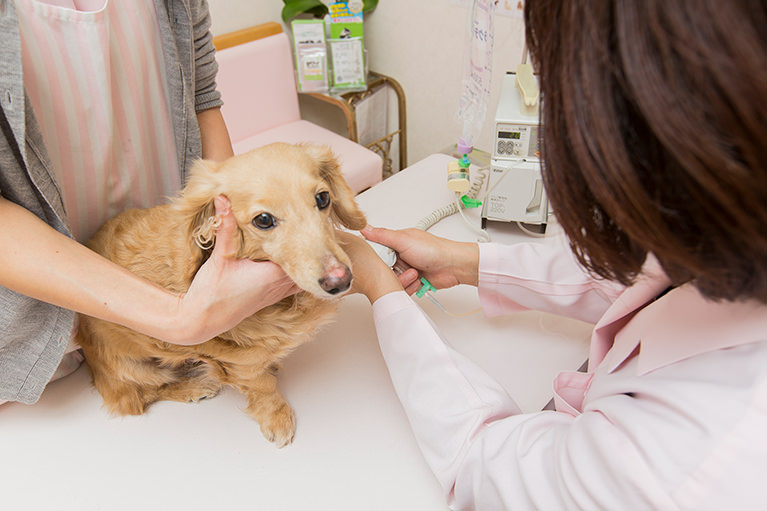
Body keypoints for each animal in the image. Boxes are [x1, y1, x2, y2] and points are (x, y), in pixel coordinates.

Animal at [76, 143, 368, 448]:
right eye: (264, 220)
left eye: (323, 198)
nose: (340, 280)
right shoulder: (239, 364)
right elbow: (263, 387)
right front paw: (277, 417)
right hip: (134, 369)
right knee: (140, 397)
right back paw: (193, 386)